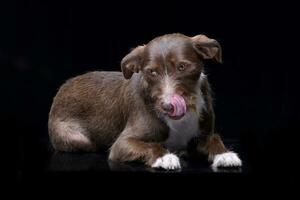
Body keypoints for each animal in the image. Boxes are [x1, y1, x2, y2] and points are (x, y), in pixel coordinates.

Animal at [48, 33, 241, 170]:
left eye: (182, 67)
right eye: (151, 72)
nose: (167, 106)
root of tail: (63, 88)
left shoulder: (204, 133)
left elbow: (214, 139)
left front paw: (224, 154)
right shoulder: (121, 144)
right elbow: (149, 145)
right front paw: (164, 156)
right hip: (77, 139)